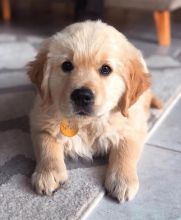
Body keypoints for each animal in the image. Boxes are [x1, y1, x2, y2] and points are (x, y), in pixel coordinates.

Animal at [27, 20, 160, 203]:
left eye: (106, 69)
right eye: (66, 66)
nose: (82, 96)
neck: (87, 123)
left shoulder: (133, 126)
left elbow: (126, 150)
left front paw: (123, 180)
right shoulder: (40, 119)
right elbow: (46, 145)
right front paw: (48, 174)